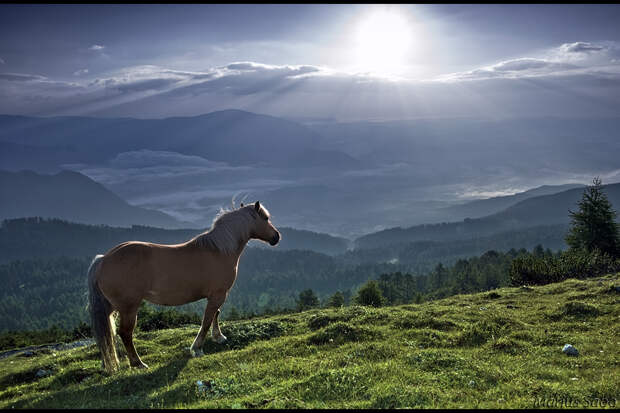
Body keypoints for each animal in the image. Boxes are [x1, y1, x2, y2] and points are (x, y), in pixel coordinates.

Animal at [87, 200, 280, 370]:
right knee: (125, 333)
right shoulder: (218, 294)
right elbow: (207, 320)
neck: (218, 250)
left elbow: (215, 314)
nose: (276, 237)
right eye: (265, 218)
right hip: (129, 308)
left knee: (106, 332)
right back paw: (138, 363)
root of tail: (103, 260)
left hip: (111, 307)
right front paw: (197, 348)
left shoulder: (217, 295)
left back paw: (107, 362)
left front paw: (219, 337)